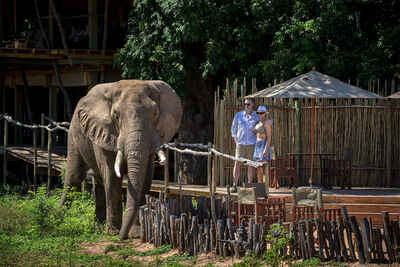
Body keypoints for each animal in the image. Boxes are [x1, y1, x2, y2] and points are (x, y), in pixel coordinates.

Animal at [59, 79, 183, 241]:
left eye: (155, 113)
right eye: (116, 116)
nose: (121, 238)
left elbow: (145, 178)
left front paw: (136, 233)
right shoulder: (104, 131)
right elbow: (112, 175)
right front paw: (114, 232)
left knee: (99, 181)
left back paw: (98, 226)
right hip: (74, 132)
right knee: (74, 177)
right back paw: (57, 218)